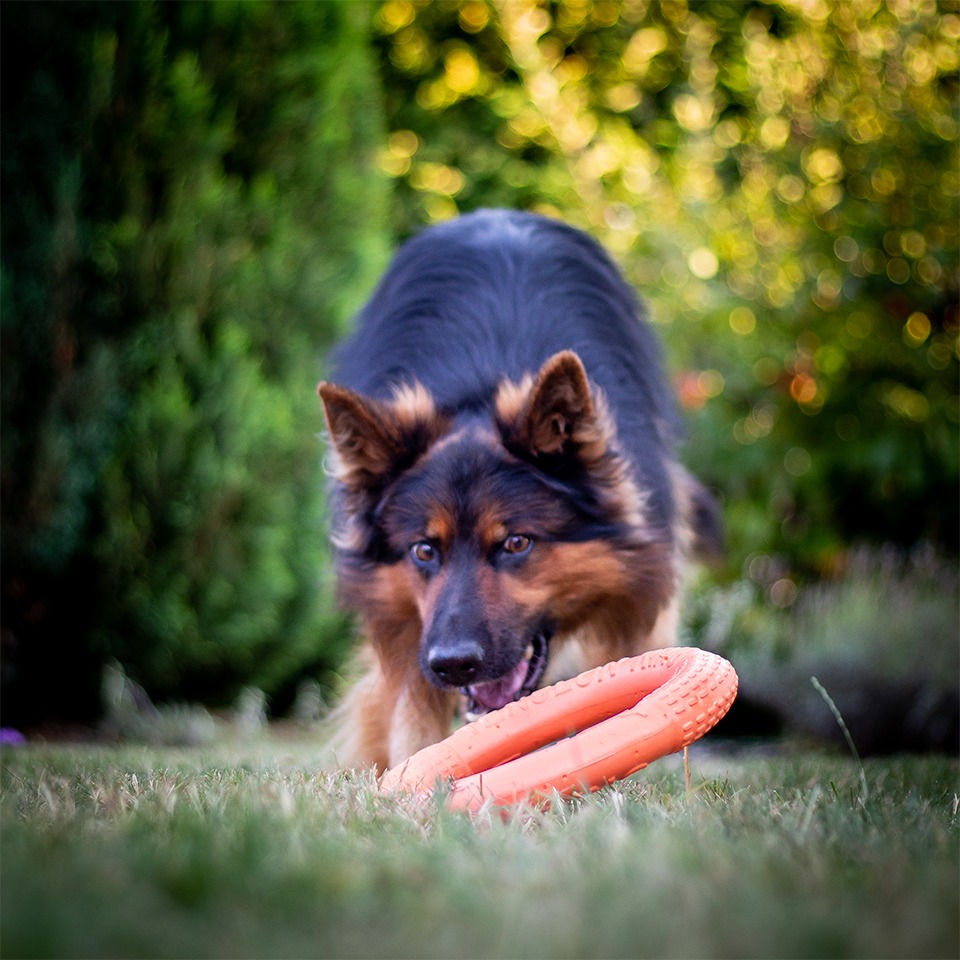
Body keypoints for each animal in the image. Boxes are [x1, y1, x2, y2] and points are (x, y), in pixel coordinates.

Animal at [316, 210, 720, 772]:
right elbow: (409, 717)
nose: (454, 665)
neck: (484, 380)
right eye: (423, 550)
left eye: (516, 543)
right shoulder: (406, 633)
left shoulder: (636, 593)